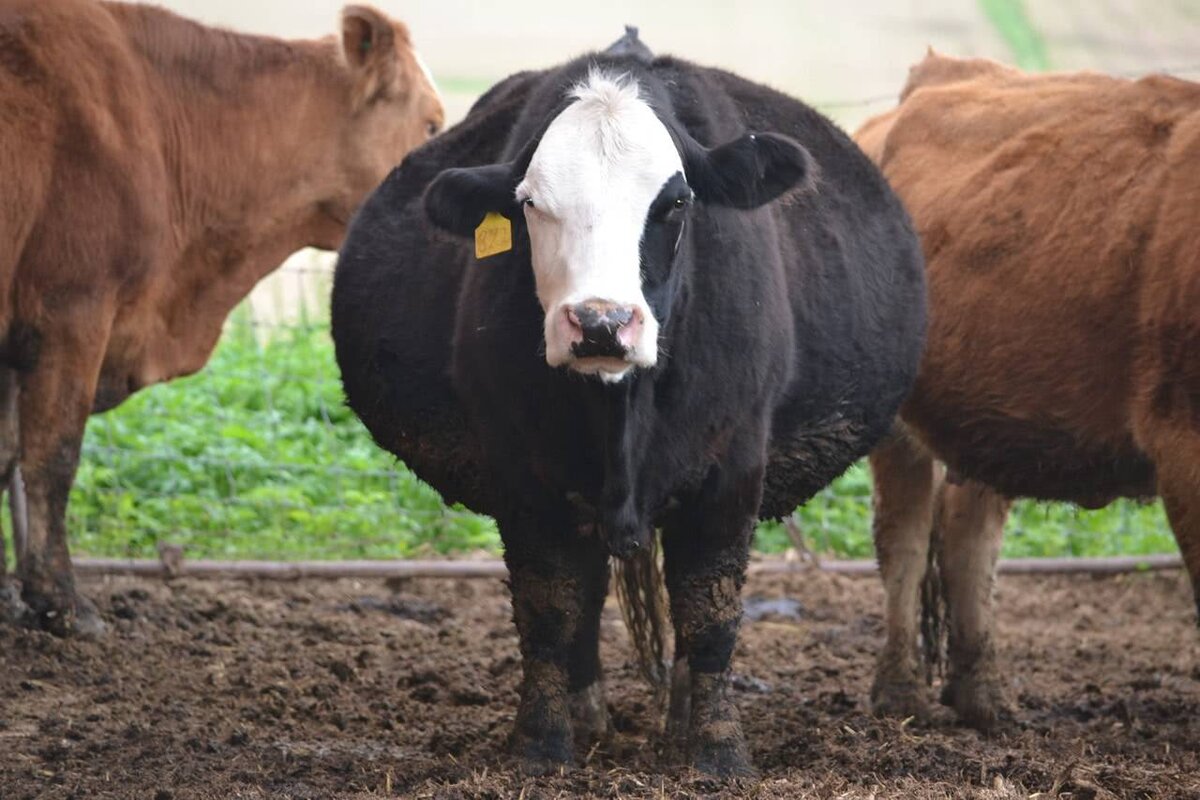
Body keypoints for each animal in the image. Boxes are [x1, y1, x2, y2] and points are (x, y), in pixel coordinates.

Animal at [333, 32, 921, 777]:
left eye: (674, 204)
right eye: (531, 203)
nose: (600, 323)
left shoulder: (732, 469)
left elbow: (710, 610)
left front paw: (717, 752)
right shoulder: (523, 476)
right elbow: (550, 610)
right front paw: (542, 744)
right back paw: (590, 720)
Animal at [854, 51, 1200, 734]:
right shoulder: (1183, 433)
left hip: (991, 406)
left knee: (967, 533)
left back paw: (981, 694)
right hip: (892, 418)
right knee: (904, 536)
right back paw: (902, 693)